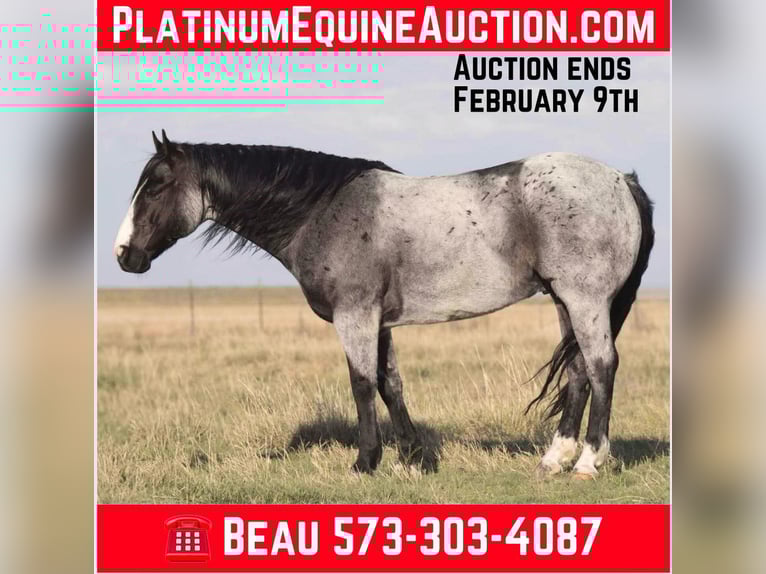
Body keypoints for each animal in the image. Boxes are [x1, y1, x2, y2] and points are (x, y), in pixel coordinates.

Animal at [114, 130, 654, 479]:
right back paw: (553, 459)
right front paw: (414, 457)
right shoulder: (379, 321)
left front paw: (365, 462)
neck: (322, 210)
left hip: (584, 299)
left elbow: (361, 384)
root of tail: (620, 179)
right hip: (565, 301)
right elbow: (390, 383)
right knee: (579, 372)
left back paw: (588, 463)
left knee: (601, 366)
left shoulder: (354, 315)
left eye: (156, 185)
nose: (124, 255)